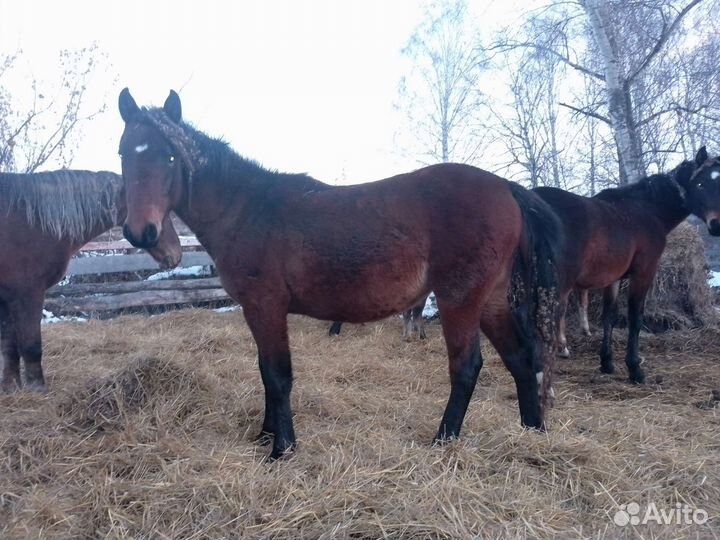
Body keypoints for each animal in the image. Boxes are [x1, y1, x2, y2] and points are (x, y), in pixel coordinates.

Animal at [0, 170, 182, 392]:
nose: (176, 254)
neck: (31, 222)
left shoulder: (6, 297)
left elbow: (8, 346)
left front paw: (10, 388)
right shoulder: (29, 294)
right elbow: (31, 344)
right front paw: (37, 389)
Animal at [117, 88, 562, 460]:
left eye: (170, 157)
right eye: (124, 152)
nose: (142, 232)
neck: (248, 210)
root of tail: (506, 187)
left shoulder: (266, 306)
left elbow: (277, 375)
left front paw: (281, 448)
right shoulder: (256, 311)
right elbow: (264, 371)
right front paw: (266, 435)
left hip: (460, 300)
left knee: (467, 367)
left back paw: (443, 440)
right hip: (491, 300)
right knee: (522, 358)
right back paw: (532, 432)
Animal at [533, 147, 717, 383]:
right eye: (701, 183)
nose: (716, 224)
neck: (647, 210)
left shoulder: (613, 278)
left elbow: (609, 316)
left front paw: (607, 362)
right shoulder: (644, 272)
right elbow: (635, 317)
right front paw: (635, 369)